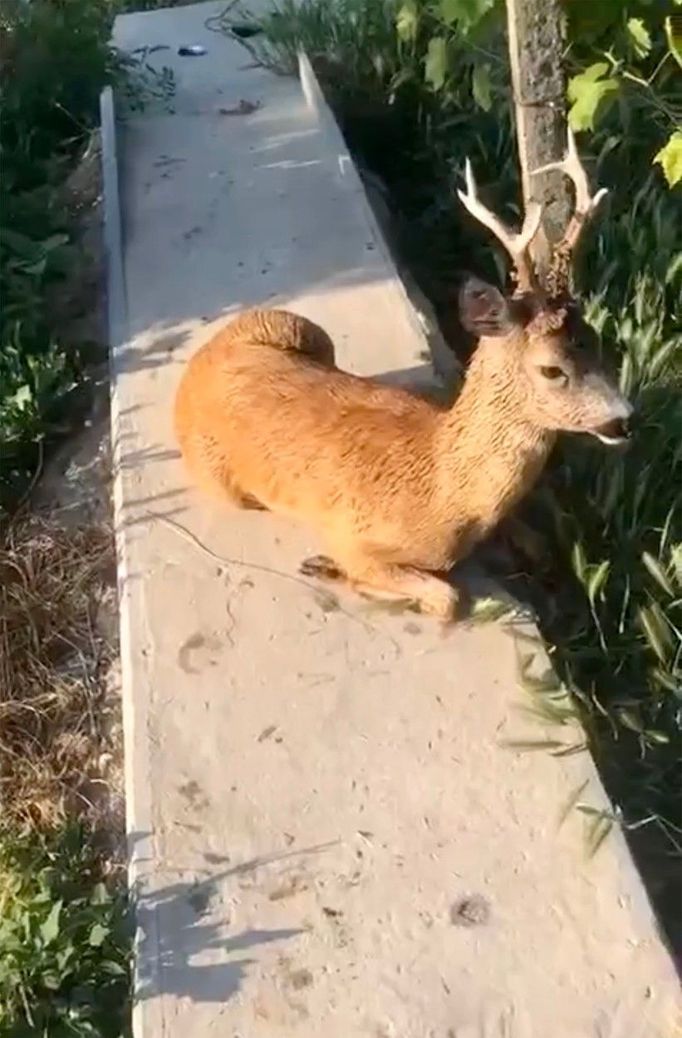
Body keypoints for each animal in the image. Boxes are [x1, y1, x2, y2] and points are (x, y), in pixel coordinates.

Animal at [174, 127, 626, 614]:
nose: (625, 418)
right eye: (551, 369)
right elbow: (446, 597)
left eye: (596, 340)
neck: (449, 497)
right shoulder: (355, 538)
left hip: (302, 328)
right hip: (223, 480)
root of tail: (197, 364)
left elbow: (539, 548)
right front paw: (330, 569)